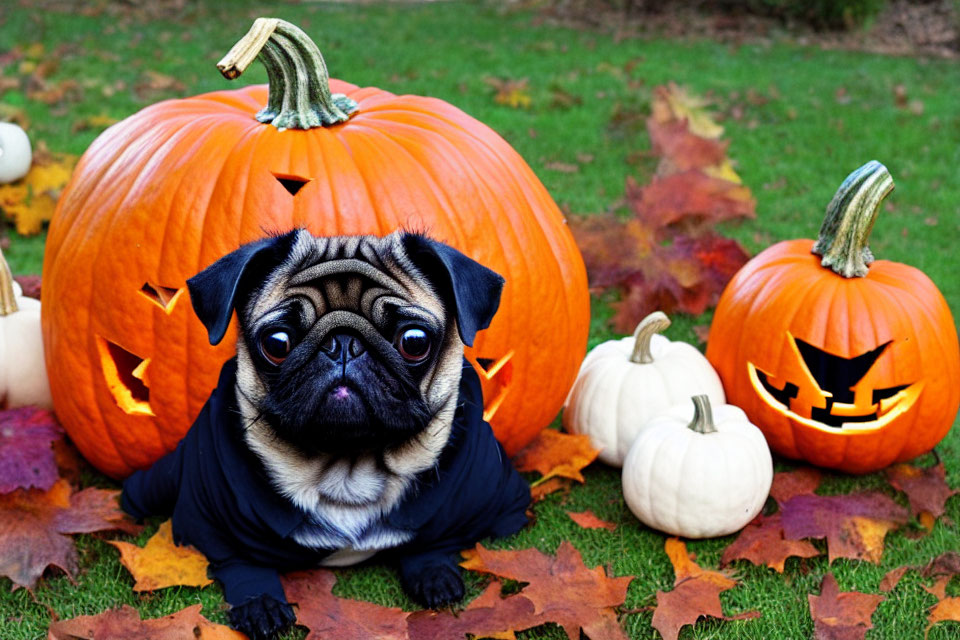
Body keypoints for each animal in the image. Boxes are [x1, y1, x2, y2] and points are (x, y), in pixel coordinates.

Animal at [120, 230, 532, 640]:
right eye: (277, 343)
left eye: (414, 342)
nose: (344, 344)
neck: (348, 469)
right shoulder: (208, 520)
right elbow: (238, 559)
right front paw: (259, 602)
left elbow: (434, 539)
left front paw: (433, 572)